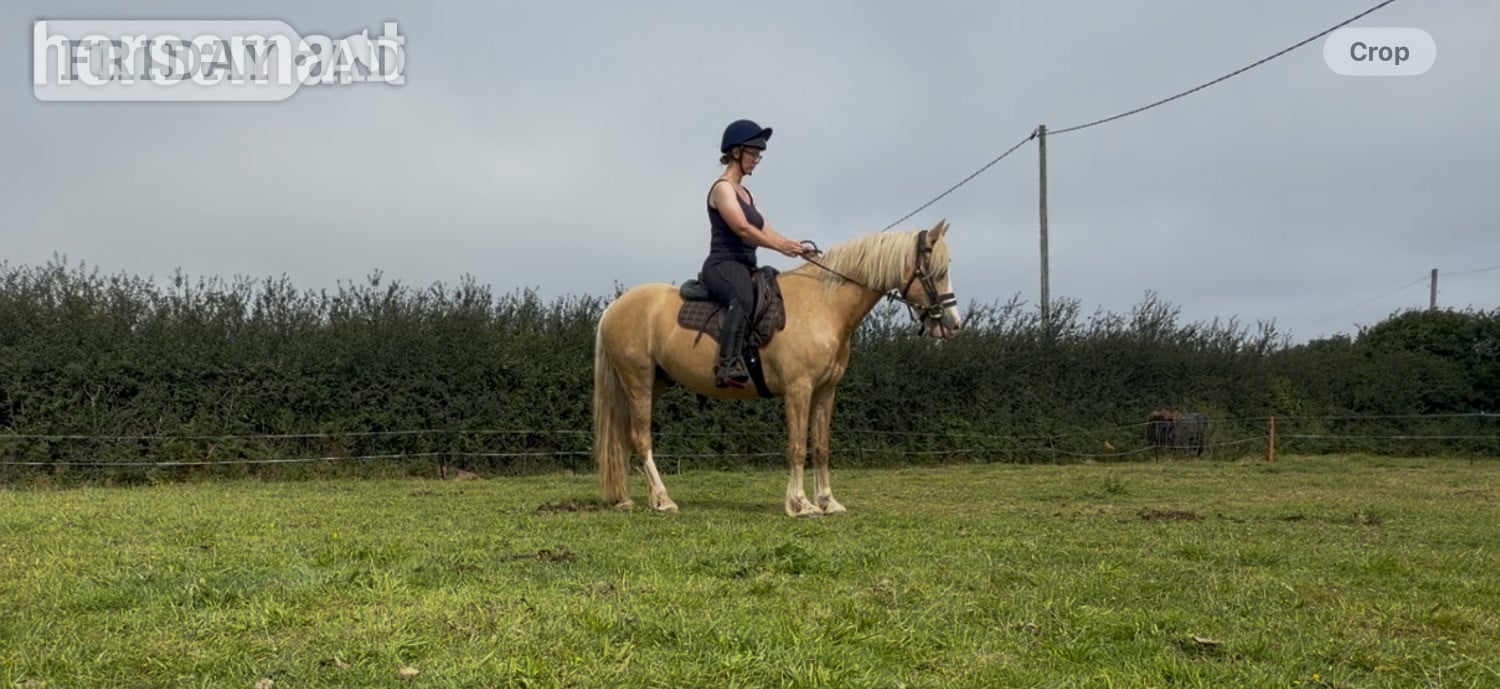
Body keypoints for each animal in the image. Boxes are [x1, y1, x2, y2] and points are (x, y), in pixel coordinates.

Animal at [592, 219, 963, 517]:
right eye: (939, 271)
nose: (953, 325)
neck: (825, 303)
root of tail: (615, 308)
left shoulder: (825, 391)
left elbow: (821, 447)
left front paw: (828, 502)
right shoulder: (798, 389)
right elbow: (797, 447)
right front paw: (800, 504)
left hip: (654, 383)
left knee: (624, 438)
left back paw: (626, 499)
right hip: (638, 379)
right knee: (641, 438)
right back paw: (663, 500)